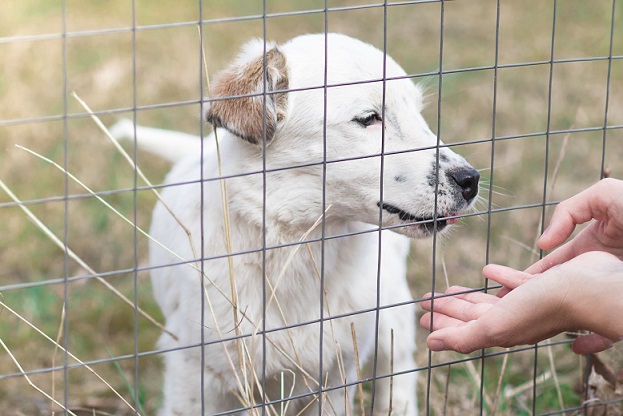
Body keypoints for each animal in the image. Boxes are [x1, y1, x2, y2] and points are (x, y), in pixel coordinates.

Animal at [112, 33, 478, 416]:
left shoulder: (336, 375)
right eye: (369, 118)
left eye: (418, 112)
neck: (298, 245)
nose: (471, 180)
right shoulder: (196, 376)